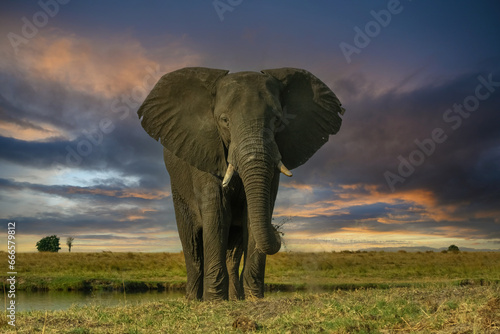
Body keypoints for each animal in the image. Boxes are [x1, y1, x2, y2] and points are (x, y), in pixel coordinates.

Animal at [139, 66, 346, 302]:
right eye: (224, 120)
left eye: (277, 120)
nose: (278, 231)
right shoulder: (205, 152)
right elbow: (218, 213)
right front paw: (215, 301)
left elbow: (253, 214)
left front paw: (255, 298)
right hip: (179, 192)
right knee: (192, 246)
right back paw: (194, 300)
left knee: (232, 252)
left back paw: (235, 298)